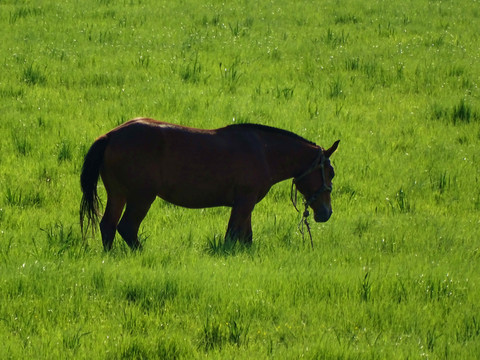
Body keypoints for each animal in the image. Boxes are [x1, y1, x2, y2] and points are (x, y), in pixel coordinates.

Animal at [79, 118, 338, 250]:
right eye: (331, 172)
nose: (326, 213)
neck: (264, 151)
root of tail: (111, 135)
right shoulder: (244, 201)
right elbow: (232, 236)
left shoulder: (247, 203)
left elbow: (246, 238)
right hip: (142, 197)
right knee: (127, 227)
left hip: (118, 194)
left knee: (108, 226)